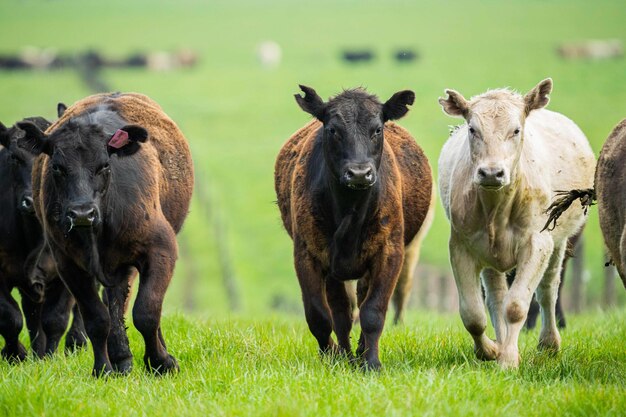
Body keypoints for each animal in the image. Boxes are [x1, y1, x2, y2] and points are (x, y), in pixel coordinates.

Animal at [19, 92, 193, 376]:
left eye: (104, 166)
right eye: (57, 167)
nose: (82, 213)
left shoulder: (161, 248)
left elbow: (147, 311)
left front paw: (161, 363)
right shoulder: (68, 265)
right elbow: (97, 319)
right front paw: (103, 369)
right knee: (114, 302)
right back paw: (121, 358)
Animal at [276, 84, 432, 368]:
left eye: (378, 129)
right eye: (333, 129)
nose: (359, 173)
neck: (350, 209)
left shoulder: (390, 251)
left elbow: (373, 311)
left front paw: (371, 362)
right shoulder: (307, 253)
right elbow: (319, 316)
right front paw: (332, 356)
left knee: (359, 300)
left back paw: (358, 354)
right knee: (342, 310)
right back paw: (345, 355)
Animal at [436, 79, 592, 368]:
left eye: (516, 130)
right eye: (472, 129)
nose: (491, 173)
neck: (497, 209)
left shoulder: (537, 244)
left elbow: (517, 306)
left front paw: (508, 361)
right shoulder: (461, 246)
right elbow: (473, 314)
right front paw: (491, 351)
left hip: (558, 242)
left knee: (547, 290)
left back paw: (548, 343)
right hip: (490, 255)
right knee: (496, 298)